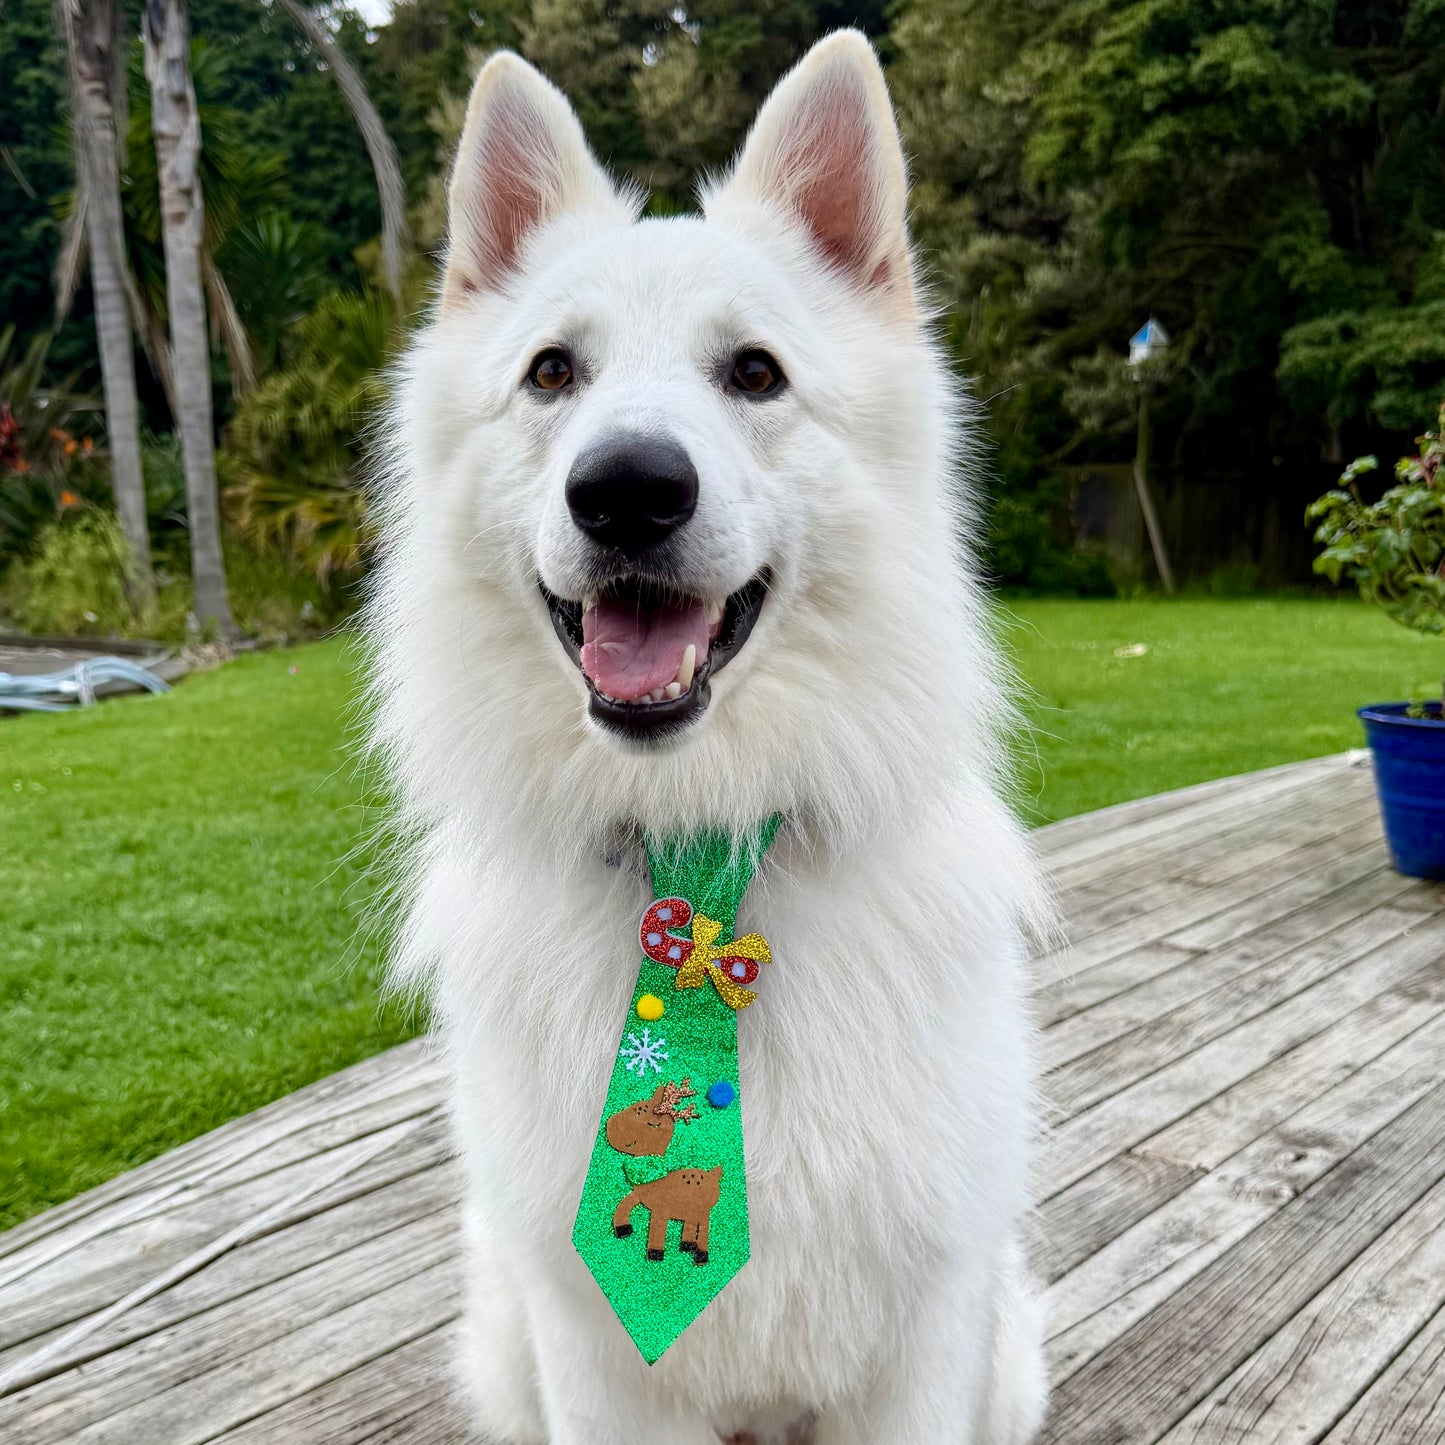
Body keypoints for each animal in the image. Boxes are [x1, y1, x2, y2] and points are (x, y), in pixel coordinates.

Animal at [605, 1079, 721, 1265]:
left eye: (638, 1114)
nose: (609, 1124)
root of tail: (713, 1174)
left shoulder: (660, 1210)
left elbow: (656, 1230)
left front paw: (655, 1253)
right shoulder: (641, 1194)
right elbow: (625, 1202)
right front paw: (623, 1228)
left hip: (704, 1210)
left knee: (703, 1228)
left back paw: (700, 1254)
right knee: (691, 1221)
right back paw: (687, 1244)